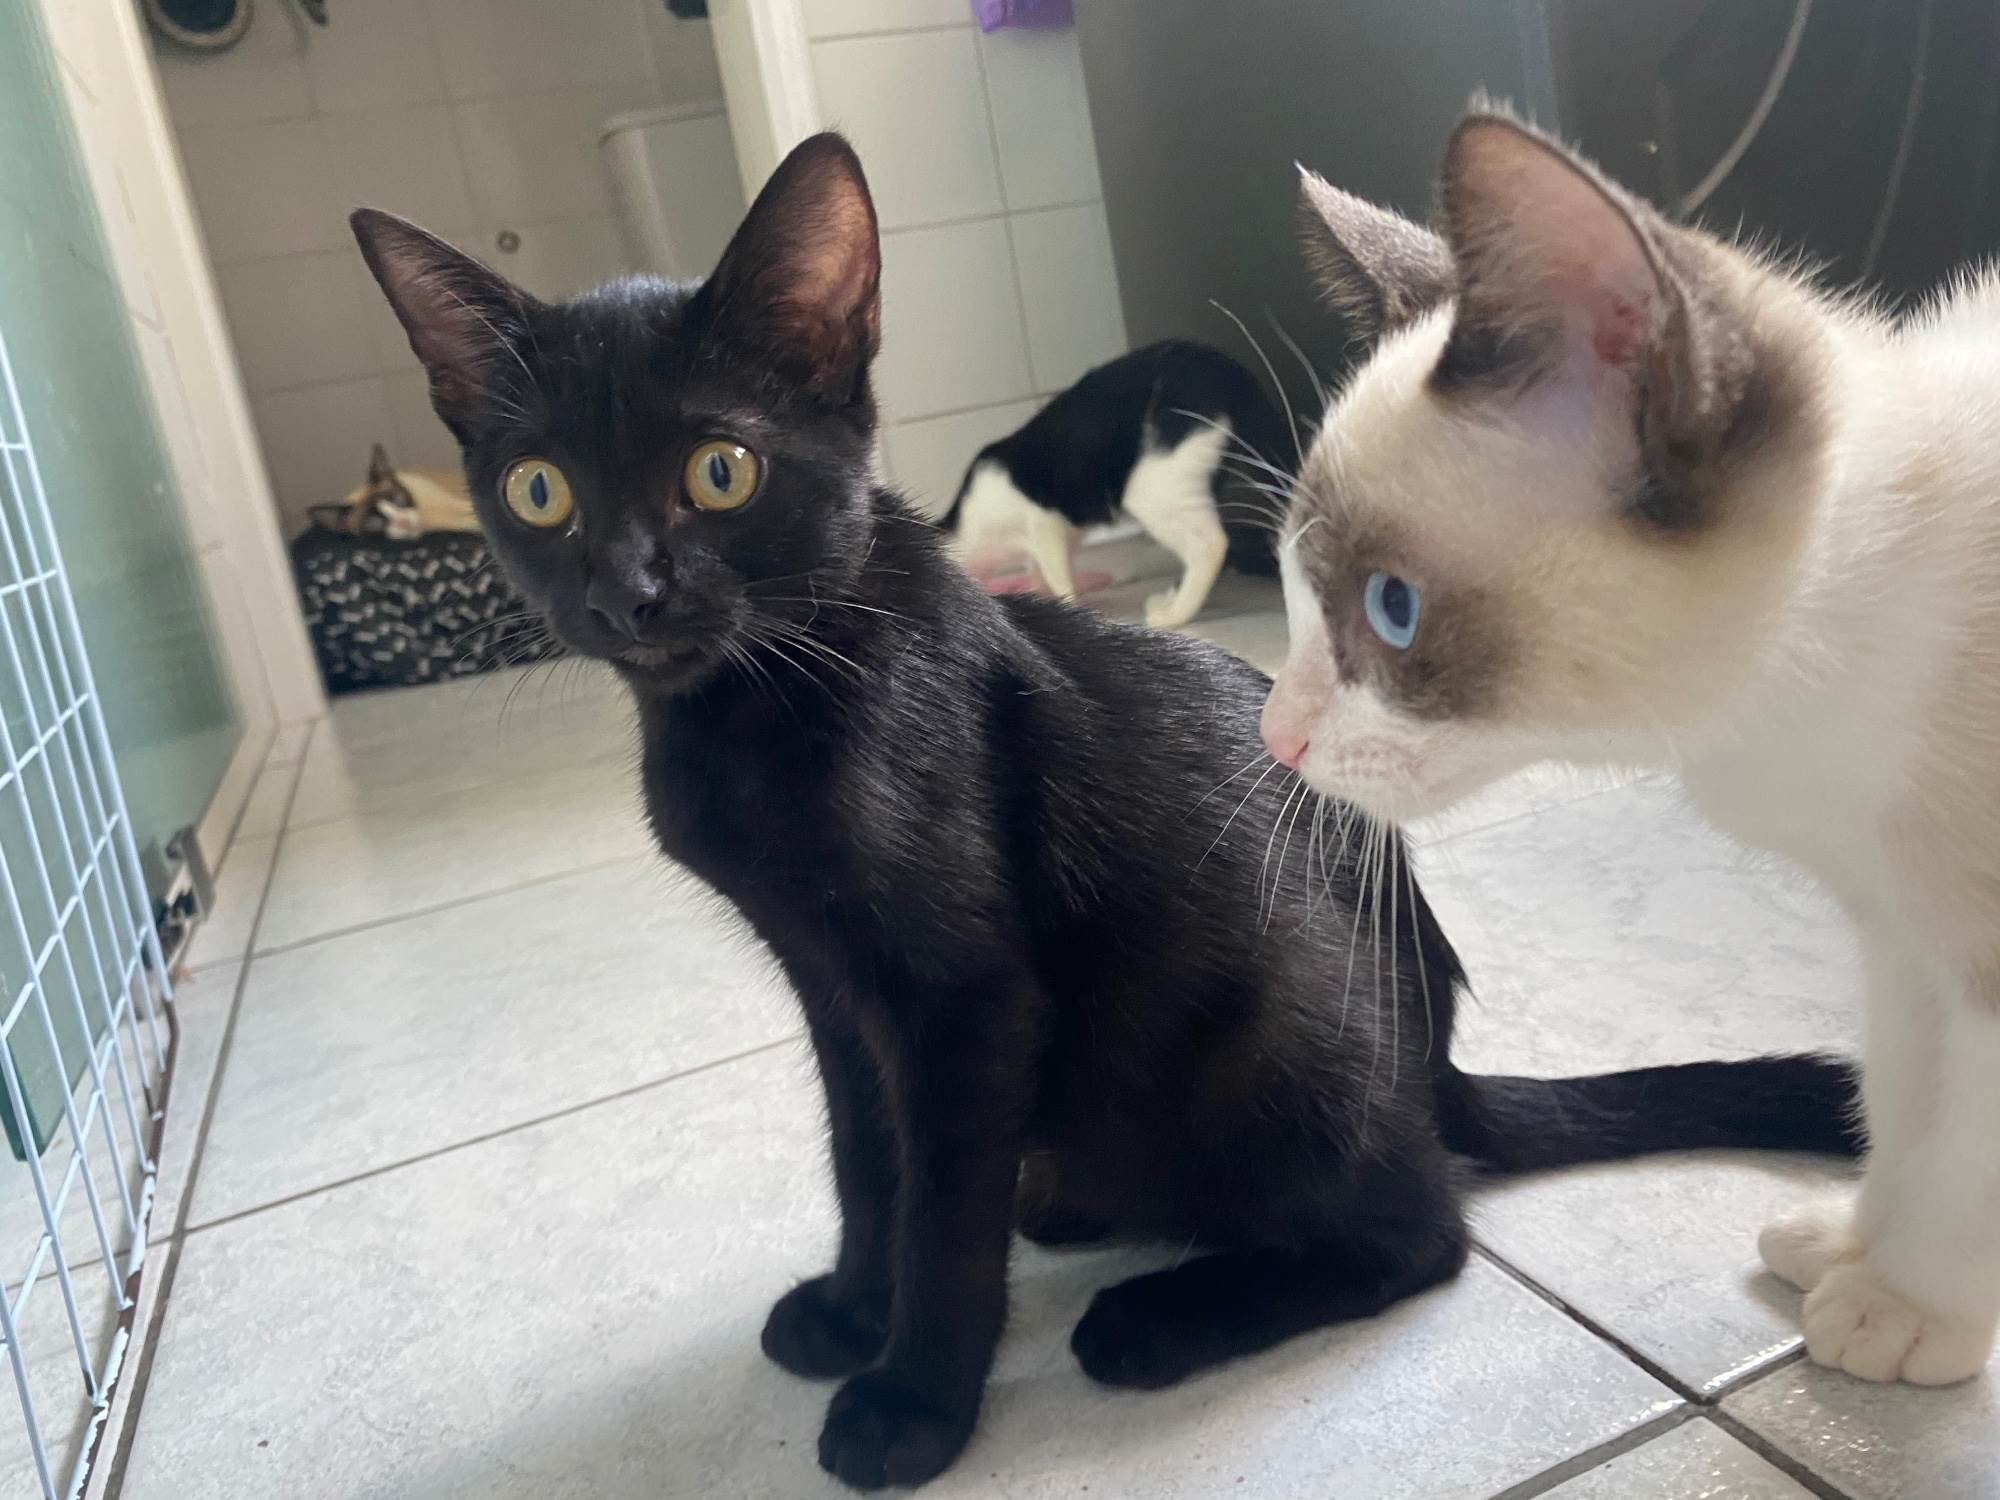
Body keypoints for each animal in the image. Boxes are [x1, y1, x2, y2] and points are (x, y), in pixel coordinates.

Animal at [945, 340, 1282, 626]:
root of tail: (1223, 364)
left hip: (1157, 485)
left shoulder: (1043, 523)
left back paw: (1174, 614)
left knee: (1210, 544)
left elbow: (1058, 575)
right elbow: (1043, 574)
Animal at [1263, 106, 2000, 1387]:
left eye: (1392, 611)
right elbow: (1905, 1106)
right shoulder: (1900, 942)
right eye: (1290, 590)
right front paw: (1858, 1249)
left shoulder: (1978, 957)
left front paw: (1909, 1306)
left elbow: (1967, 1149)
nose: (1274, 736)